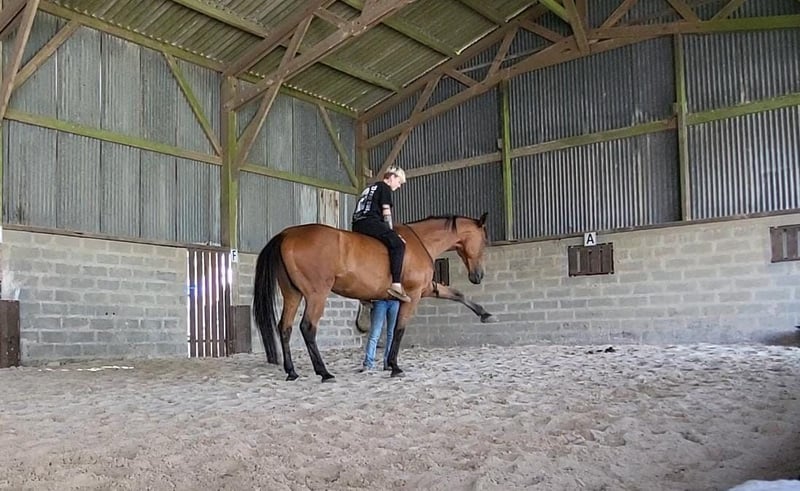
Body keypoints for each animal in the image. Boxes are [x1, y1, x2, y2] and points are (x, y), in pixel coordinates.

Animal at [252, 213, 494, 382]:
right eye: (484, 241)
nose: (479, 275)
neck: (420, 242)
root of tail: (287, 234)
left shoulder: (425, 289)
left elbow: (456, 294)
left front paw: (485, 314)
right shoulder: (414, 294)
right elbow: (399, 329)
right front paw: (394, 366)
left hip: (292, 294)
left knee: (285, 328)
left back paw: (292, 372)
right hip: (316, 294)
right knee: (307, 327)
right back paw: (324, 372)